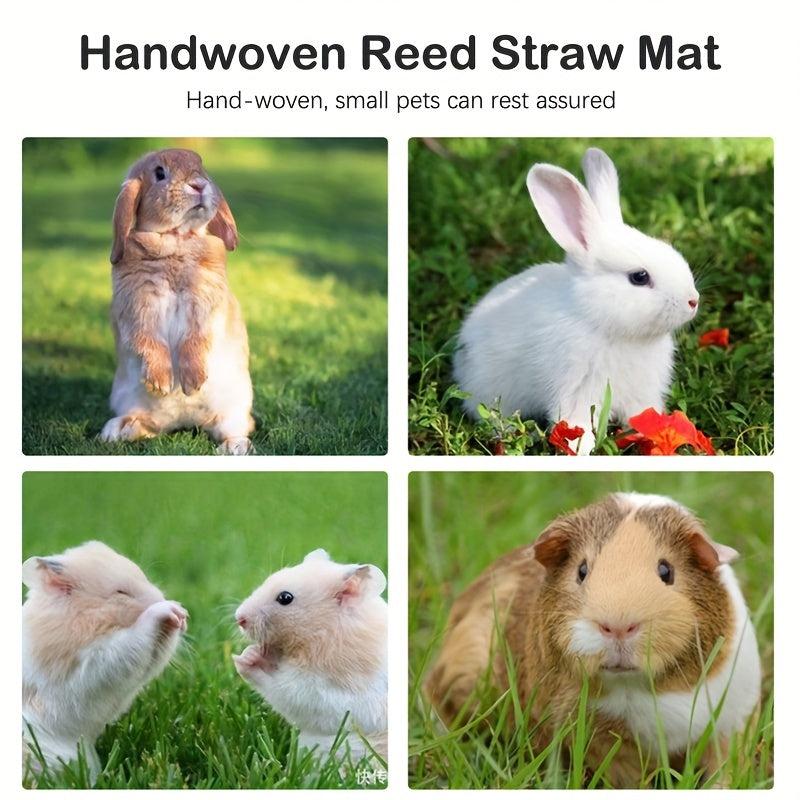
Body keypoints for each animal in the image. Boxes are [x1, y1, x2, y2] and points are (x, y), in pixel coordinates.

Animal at [22, 541, 187, 780]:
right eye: (121, 593)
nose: (163, 600)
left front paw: (181, 615)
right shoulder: (88, 670)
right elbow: (130, 642)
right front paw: (167, 609)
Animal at [98, 148, 255, 455]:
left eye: (201, 167)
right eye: (160, 173)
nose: (199, 185)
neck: (175, 240)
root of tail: (183, 421)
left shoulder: (204, 306)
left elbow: (195, 340)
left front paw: (192, 383)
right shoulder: (137, 309)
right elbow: (148, 341)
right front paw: (161, 383)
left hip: (234, 411)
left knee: (237, 429)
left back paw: (232, 448)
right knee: (146, 425)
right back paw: (115, 431)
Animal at [233, 549, 388, 765]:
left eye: (285, 598)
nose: (239, 618)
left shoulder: (327, 695)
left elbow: (284, 690)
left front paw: (242, 661)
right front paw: (249, 653)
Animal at [425, 493, 761, 788]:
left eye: (666, 571)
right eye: (582, 570)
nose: (617, 626)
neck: (643, 687)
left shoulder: (733, 722)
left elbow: (724, 768)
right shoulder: (604, 742)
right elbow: (626, 779)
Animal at [453, 147, 699, 454]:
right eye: (639, 277)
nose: (693, 301)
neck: (601, 322)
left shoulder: (642, 395)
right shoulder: (576, 390)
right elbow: (575, 424)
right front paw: (582, 450)